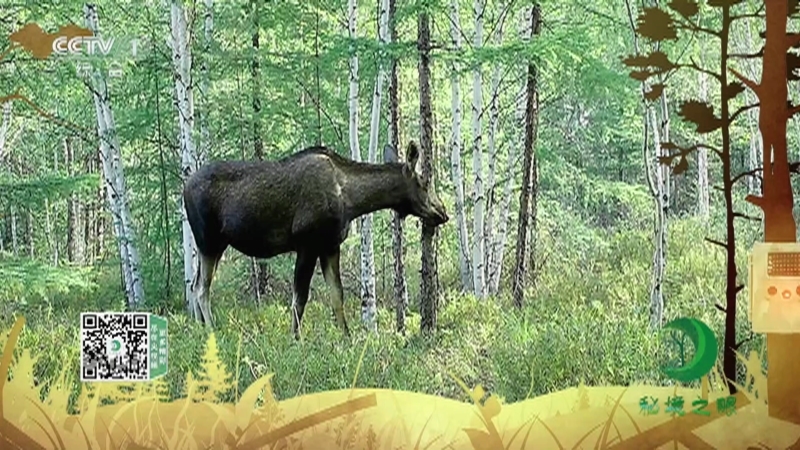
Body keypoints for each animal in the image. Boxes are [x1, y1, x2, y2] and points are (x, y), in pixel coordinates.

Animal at [183, 141, 449, 339]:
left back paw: (198, 330)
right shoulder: (307, 244)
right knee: (201, 288)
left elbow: (337, 296)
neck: (352, 201)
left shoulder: (330, 246)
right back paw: (211, 331)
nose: (443, 212)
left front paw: (347, 338)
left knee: (193, 284)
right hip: (209, 241)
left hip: (213, 245)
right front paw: (295, 340)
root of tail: (183, 188)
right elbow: (299, 300)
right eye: (425, 182)